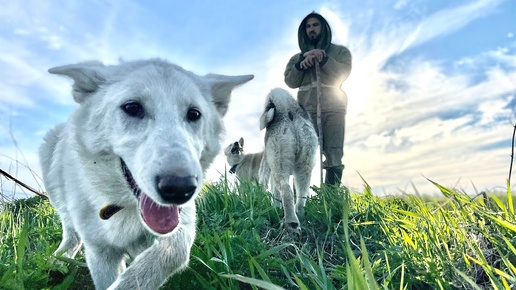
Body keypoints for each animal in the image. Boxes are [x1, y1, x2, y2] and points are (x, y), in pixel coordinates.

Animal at [39, 57, 253, 288]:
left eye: (194, 114)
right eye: (132, 107)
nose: (180, 189)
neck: (127, 207)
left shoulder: (181, 223)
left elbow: (173, 248)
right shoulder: (100, 253)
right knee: (71, 232)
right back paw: (59, 259)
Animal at [258, 87, 318, 232]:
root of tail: (288, 111)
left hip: (280, 166)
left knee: (286, 191)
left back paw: (291, 223)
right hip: (305, 168)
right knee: (301, 196)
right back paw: (300, 217)